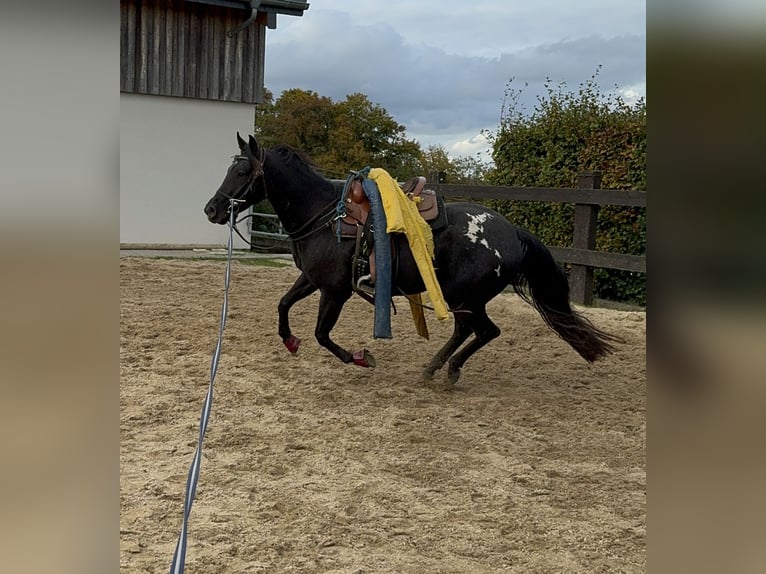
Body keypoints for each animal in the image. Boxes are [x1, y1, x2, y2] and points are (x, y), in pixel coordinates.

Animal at [204, 134, 624, 384]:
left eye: (242, 170)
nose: (211, 209)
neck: (325, 214)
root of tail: (512, 232)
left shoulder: (335, 291)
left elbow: (323, 334)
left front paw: (361, 357)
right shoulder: (312, 279)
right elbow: (282, 305)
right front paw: (291, 342)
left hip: (465, 297)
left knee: (483, 331)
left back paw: (445, 370)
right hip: (463, 299)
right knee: (471, 331)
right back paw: (435, 369)